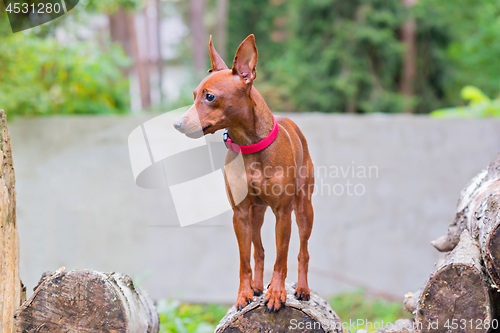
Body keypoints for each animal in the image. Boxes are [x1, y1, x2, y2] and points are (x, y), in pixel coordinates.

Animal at [173, 34, 312, 312]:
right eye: (194, 95)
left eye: (210, 97)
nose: (177, 124)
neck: (250, 146)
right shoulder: (240, 215)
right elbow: (244, 260)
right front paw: (244, 294)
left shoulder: (283, 214)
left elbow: (282, 259)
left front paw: (277, 293)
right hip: (255, 214)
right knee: (259, 251)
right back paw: (258, 286)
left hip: (303, 210)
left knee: (303, 251)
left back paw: (302, 289)